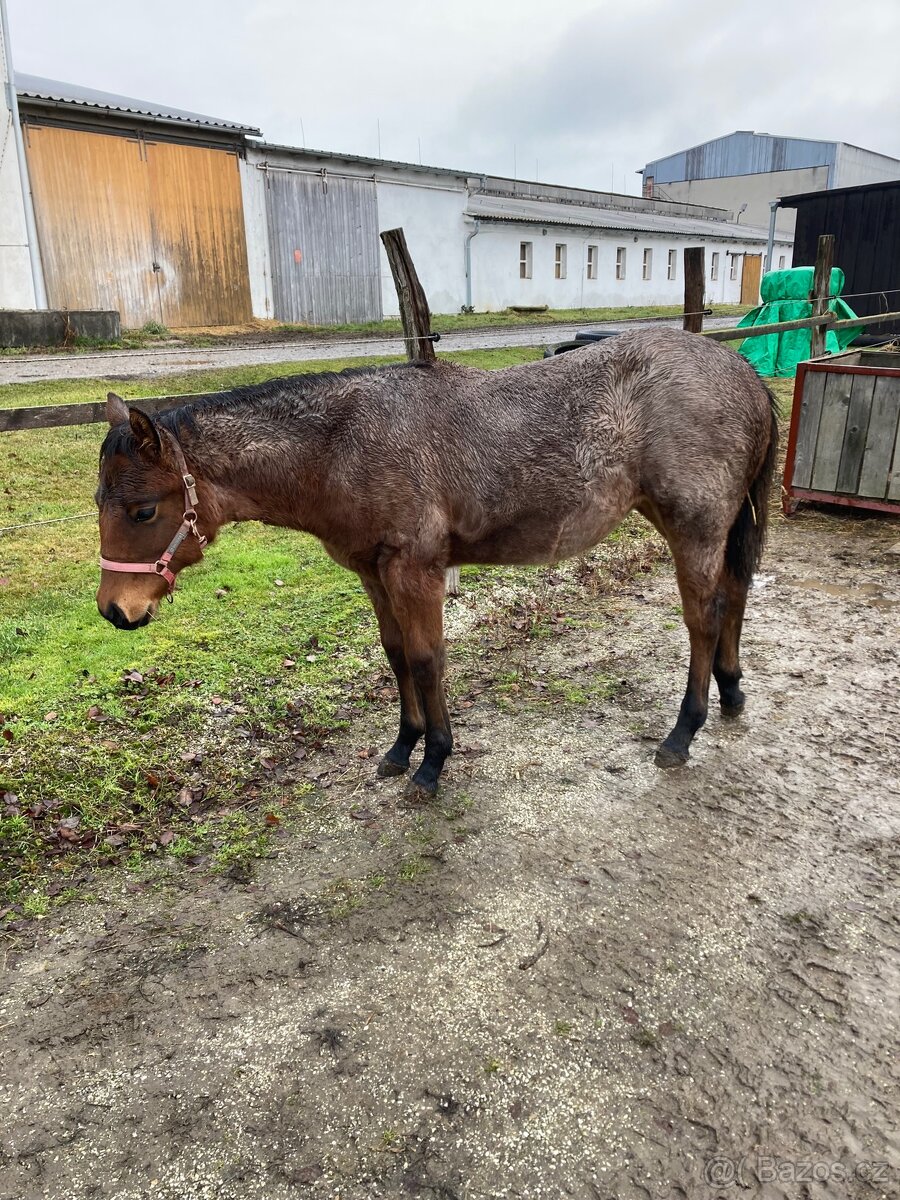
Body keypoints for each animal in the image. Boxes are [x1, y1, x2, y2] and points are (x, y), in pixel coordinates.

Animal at [95, 328, 778, 799]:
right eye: (100, 501)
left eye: (142, 510)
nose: (114, 611)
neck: (341, 444)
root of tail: (743, 371)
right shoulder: (373, 572)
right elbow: (397, 656)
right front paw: (404, 746)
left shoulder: (413, 568)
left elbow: (427, 660)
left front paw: (433, 760)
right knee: (736, 593)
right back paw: (731, 692)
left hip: (693, 527)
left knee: (704, 617)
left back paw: (684, 732)